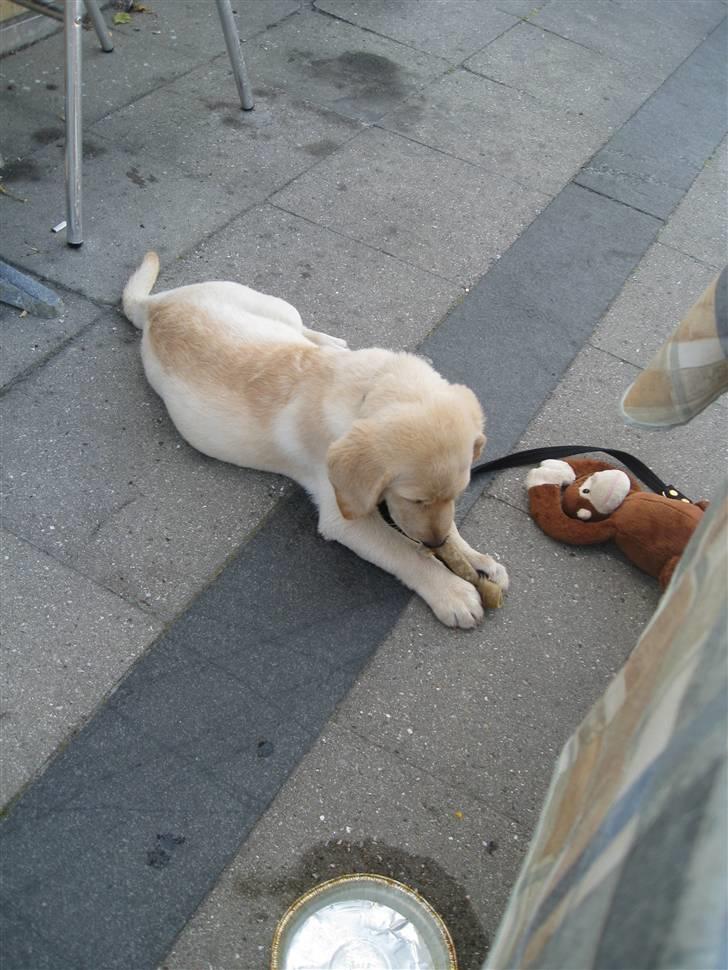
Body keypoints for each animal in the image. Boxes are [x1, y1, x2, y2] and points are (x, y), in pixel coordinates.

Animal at [122, 251, 506, 628]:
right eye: (415, 500)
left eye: (457, 494)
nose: (434, 541)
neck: (369, 387)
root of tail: (156, 305)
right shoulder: (344, 517)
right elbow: (405, 553)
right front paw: (452, 591)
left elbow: (448, 527)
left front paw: (475, 558)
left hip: (273, 306)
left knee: (301, 330)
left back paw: (329, 341)